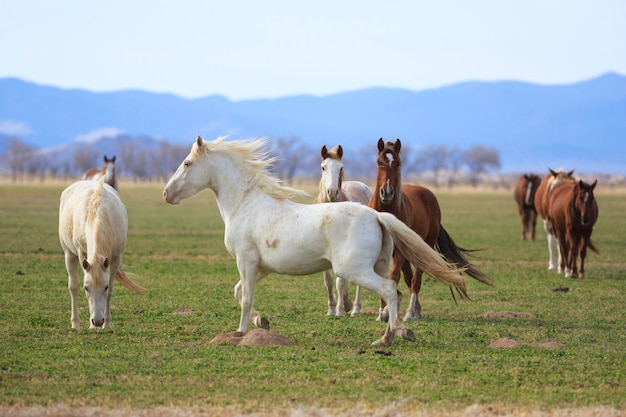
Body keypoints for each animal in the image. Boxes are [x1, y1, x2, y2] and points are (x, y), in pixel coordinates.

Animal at [58, 176, 144, 328]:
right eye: (86, 288)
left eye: (105, 287)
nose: (97, 321)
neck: (97, 211)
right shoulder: (82, 255)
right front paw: (92, 326)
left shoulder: (115, 258)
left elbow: (111, 291)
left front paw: (107, 324)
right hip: (69, 254)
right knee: (73, 286)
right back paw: (75, 323)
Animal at [163, 135, 466, 346]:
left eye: (187, 163)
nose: (166, 193)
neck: (245, 204)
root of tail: (378, 216)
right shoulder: (261, 267)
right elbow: (239, 293)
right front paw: (263, 321)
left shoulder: (246, 261)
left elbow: (246, 298)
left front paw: (241, 332)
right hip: (378, 266)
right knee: (394, 294)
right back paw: (396, 332)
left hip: (354, 270)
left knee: (390, 291)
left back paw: (388, 337)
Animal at [368, 138, 490, 320]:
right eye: (379, 162)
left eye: (397, 163)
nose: (387, 193)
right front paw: (382, 312)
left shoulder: (400, 251)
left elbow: (394, 276)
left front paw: (388, 312)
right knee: (409, 277)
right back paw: (415, 309)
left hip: (422, 246)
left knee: (415, 279)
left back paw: (411, 312)